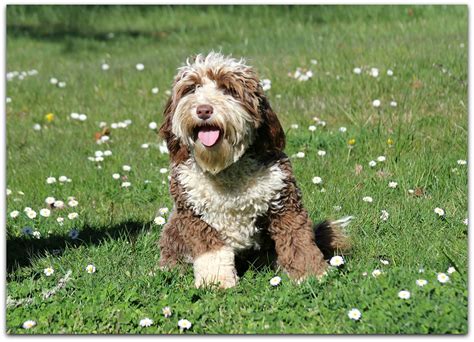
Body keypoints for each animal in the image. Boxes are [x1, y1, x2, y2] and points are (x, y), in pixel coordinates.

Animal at [157, 52, 350, 288]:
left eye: (228, 89)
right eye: (191, 88)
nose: (203, 109)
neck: (225, 168)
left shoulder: (284, 202)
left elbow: (298, 241)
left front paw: (311, 274)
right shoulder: (194, 213)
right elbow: (211, 253)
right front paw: (216, 282)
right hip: (174, 227)